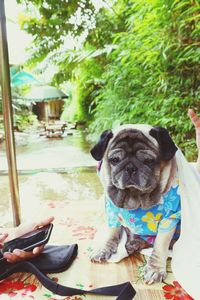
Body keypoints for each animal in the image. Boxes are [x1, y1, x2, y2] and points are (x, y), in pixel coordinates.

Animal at [90, 124, 179, 284]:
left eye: (149, 161)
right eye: (114, 160)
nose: (130, 167)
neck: (135, 197)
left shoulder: (170, 218)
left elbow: (160, 245)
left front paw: (155, 269)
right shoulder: (113, 212)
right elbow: (111, 233)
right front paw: (104, 249)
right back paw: (133, 244)